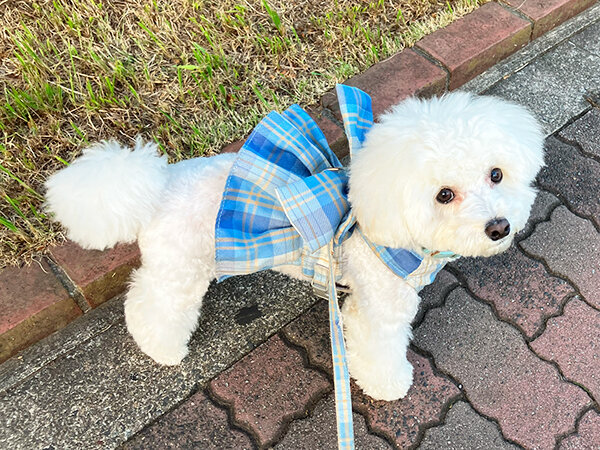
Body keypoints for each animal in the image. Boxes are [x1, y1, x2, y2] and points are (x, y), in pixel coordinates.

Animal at [45, 91, 544, 400]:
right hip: (180, 270)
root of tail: (158, 183)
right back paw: (162, 349)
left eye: (496, 174)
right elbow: (379, 350)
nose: (499, 227)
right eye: (443, 195)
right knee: (151, 306)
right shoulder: (377, 308)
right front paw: (390, 385)